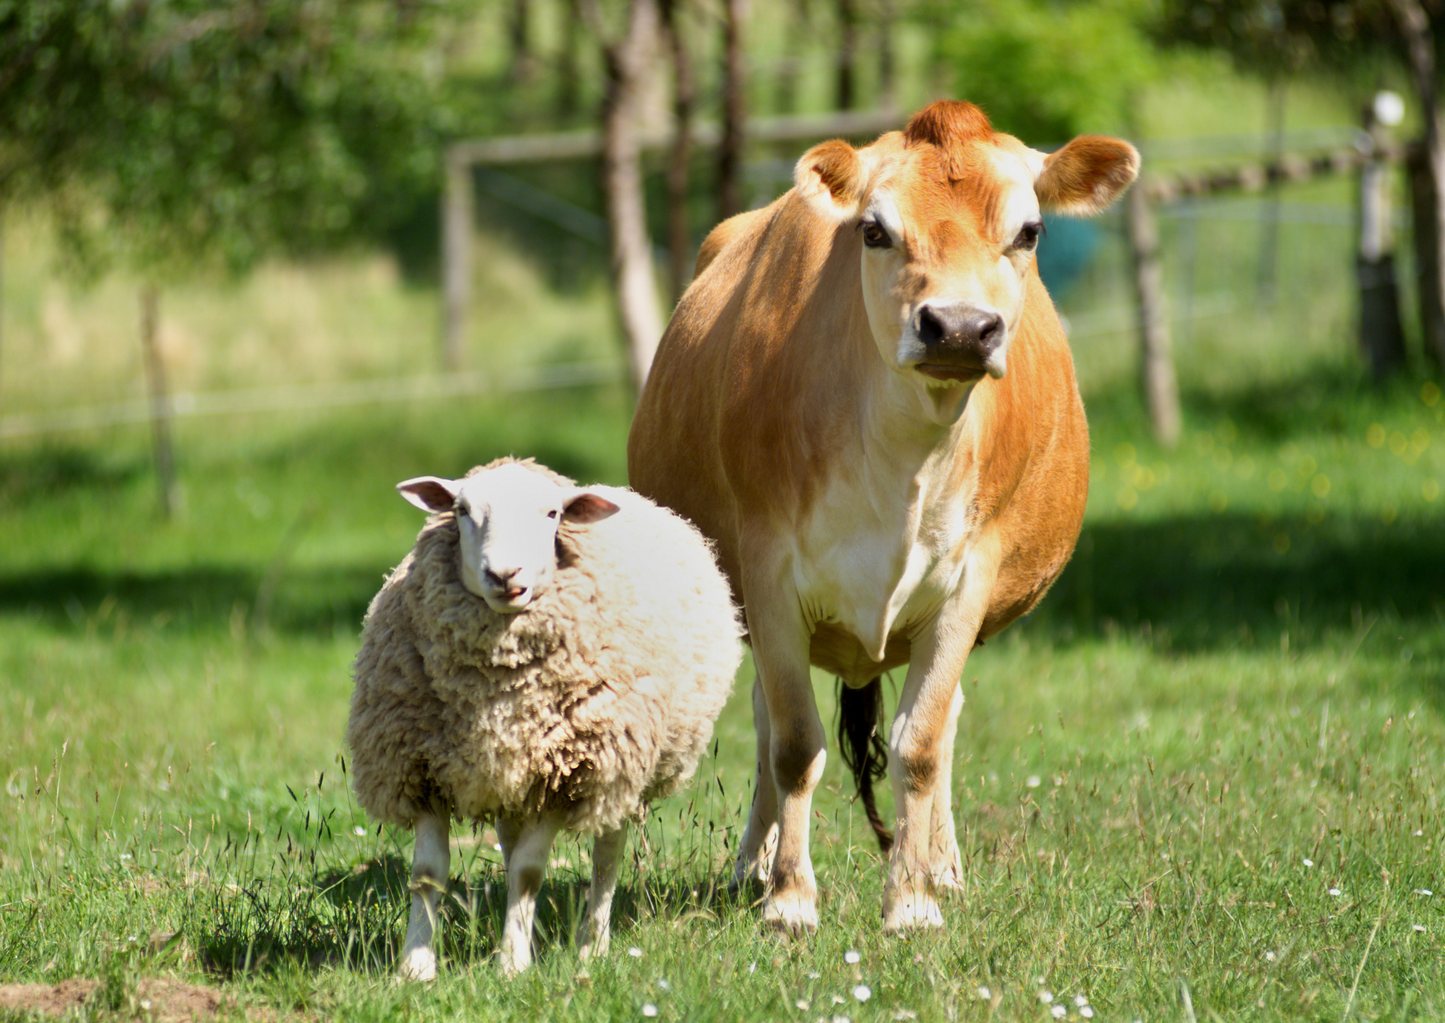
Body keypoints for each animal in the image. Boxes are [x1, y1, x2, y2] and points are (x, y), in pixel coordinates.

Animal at [346, 456, 743, 978]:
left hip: (617, 768)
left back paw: (592, 945)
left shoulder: (567, 774)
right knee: (511, 837)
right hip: (513, 775)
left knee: (607, 856)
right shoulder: (421, 766)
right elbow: (428, 874)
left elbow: (529, 872)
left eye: (553, 513)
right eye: (461, 510)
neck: (496, 687)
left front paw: (512, 965)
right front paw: (415, 969)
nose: (503, 574)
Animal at [627, 100, 1139, 934]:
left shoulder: (967, 584)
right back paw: (752, 866)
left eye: (1029, 231)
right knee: (767, 719)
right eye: (873, 229)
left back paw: (942, 864)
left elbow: (921, 741)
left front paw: (912, 900)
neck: (903, 461)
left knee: (945, 716)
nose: (959, 327)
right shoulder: (767, 575)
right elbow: (793, 743)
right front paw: (789, 898)